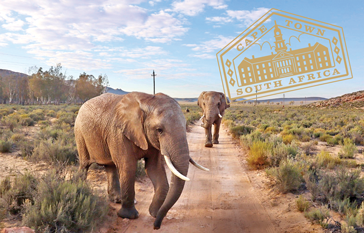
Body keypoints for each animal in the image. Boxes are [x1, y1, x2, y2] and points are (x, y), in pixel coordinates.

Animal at [74, 91, 208, 229]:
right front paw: (129, 216)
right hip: (79, 132)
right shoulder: (119, 133)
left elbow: (154, 168)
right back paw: (79, 189)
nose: (156, 226)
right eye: (159, 130)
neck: (146, 101)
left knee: (110, 166)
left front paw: (155, 213)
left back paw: (117, 200)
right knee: (84, 164)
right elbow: (128, 167)